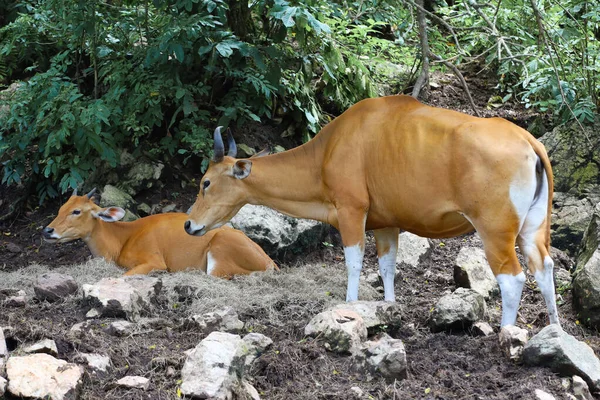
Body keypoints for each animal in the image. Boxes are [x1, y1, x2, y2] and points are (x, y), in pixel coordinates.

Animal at [184, 95, 556, 326]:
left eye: (205, 182)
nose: (189, 225)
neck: (326, 152)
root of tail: (527, 140)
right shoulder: (386, 224)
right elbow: (387, 268)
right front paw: (389, 310)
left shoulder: (352, 211)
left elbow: (353, 264)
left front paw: (349, 308)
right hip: (532, 229)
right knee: (544, 267)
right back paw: (554, 331)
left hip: (495, 229)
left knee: (513, 278)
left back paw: (507, 332)